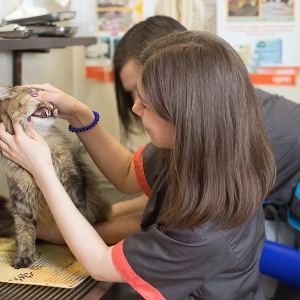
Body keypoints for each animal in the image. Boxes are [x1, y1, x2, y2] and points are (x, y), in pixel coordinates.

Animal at [0, 85, 111, 270]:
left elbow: (79, 218)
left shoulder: (74, 188)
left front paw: (73, 252)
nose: (52, 106)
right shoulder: (21, 204)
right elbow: (24, 234)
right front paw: (23, 257)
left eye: (47, 97)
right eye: (34, 94)